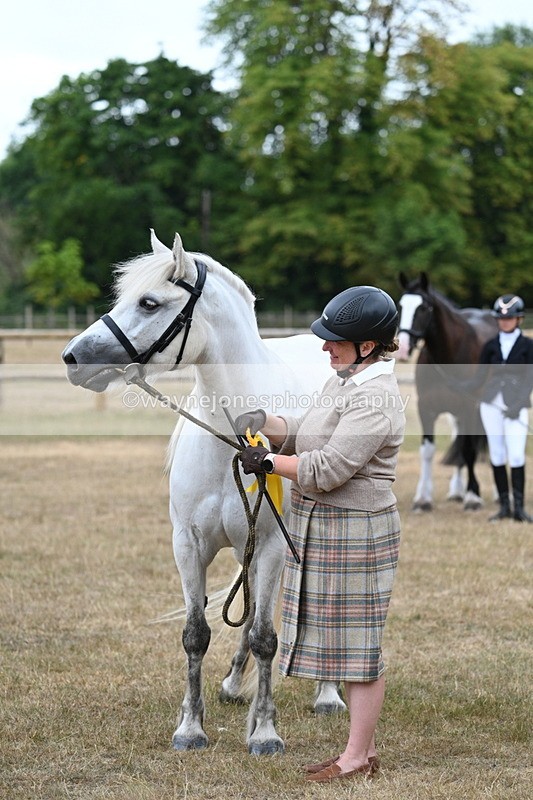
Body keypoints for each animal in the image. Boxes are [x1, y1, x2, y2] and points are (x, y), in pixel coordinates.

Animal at [61, 230, 346, 756]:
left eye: (149, 302)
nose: (73, 357)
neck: (230, 440)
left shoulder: (272, 544)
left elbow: (267, 637)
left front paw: (265, 732)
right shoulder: (190, 545)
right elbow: (198, 633)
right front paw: (191, 727)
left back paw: (328, 693)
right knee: (250, 606)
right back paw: (234, 685)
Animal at [396, 272, 497, 511]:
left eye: (424, 308)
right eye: (400, 305)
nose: (403, 348)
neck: (449, 355)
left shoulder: (469, 408)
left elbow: (469, 450)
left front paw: (473, 497)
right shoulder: (426, 408)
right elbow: (428, 451)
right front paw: (423, 499)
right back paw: (456, 491)